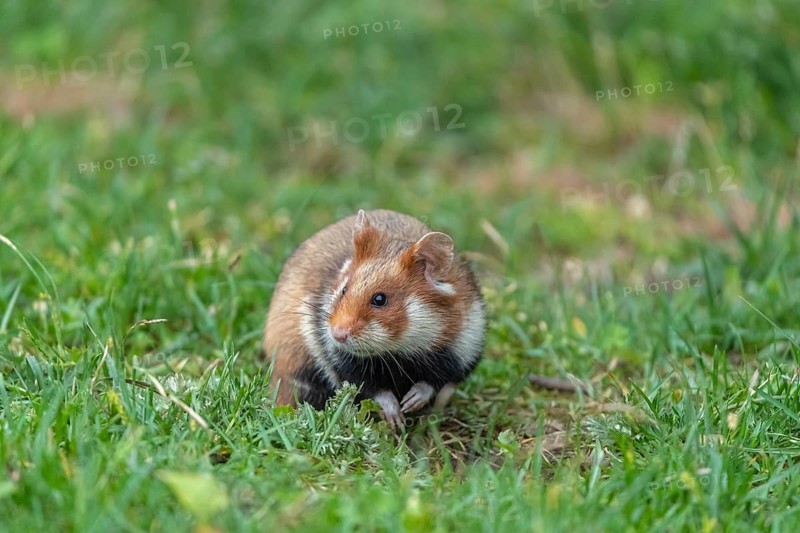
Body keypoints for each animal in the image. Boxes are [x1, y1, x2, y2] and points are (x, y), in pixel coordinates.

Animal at [263, 209, 485, 428]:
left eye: (380, 299)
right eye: (343, 290)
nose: (337, 335)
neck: (400, 349)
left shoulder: (463, 351)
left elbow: (434, 383)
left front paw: (410, 402)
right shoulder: (343, 362)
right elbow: (374, 390)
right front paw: (396, 419)